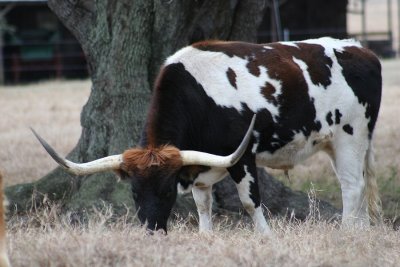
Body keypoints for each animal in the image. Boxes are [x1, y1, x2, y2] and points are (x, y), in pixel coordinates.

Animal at [33, 37, 382, 234]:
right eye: (133, 192)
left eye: (167, 192)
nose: (151, 232)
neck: (196, 95)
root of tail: (361, 49)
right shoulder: (198, 167)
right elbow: (203, 206)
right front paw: (206, 238)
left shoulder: (242, 157)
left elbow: (250, 202)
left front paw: (266, 238)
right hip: (336, 144)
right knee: (361, 185)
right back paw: (362, 234)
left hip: (351, 136)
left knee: (352, 187)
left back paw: (346, 235)